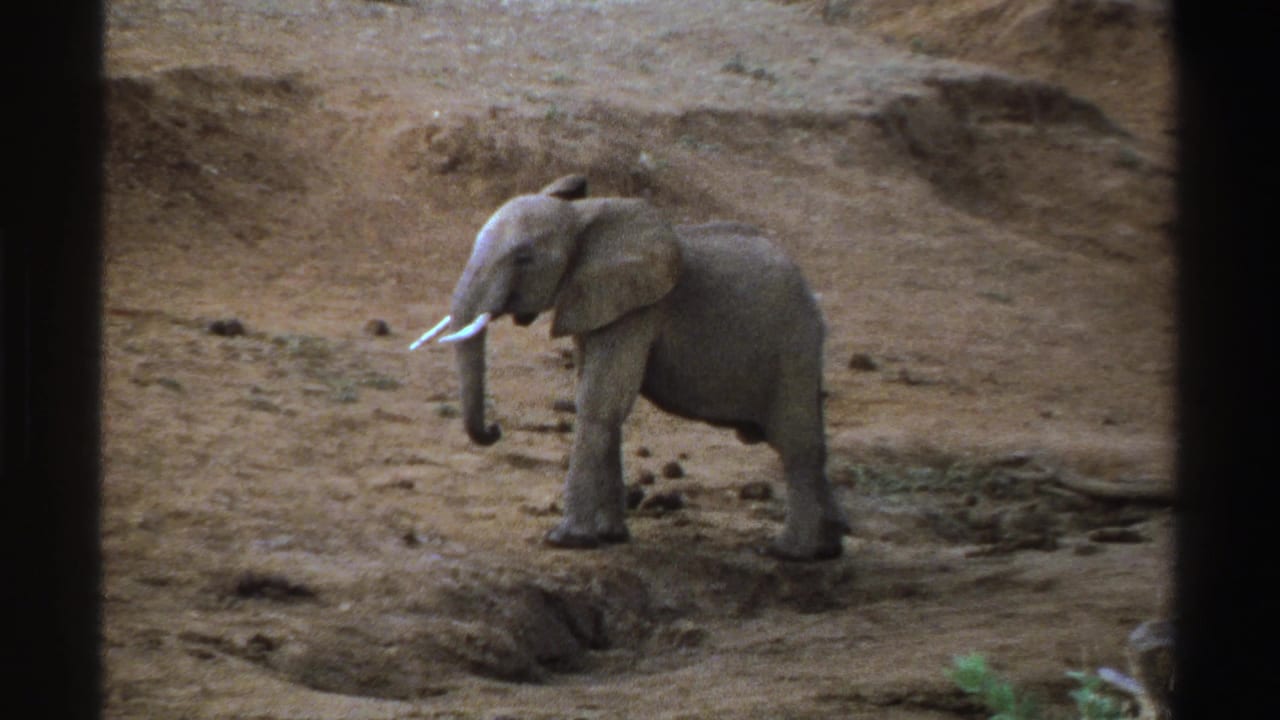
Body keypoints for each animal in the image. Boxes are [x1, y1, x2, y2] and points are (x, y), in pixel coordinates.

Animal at [411, 175, 849, 560]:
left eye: (523, 258)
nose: (495, 430)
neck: (584, 220)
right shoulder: (595, 303)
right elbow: (599, 398)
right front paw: (609, 536)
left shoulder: (638, 308)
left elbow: (600, 402)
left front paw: (564, 541)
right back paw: (829, 548)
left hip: (793, 346)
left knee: (796, 442)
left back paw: (790, 553)